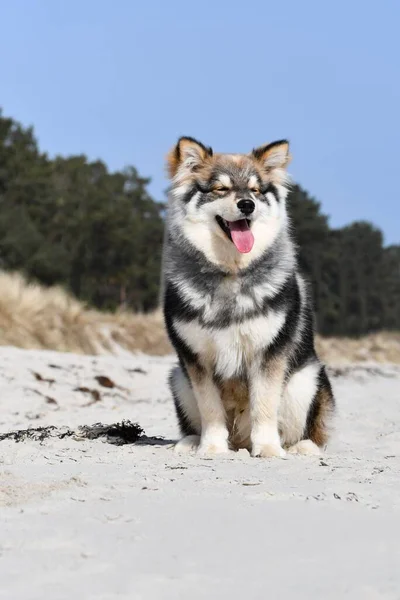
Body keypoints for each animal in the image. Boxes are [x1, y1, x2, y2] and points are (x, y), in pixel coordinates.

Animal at [162, 135, 334, 454]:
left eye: (255, 190)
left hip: (307, 380)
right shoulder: (196, 360)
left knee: (306, 432)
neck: (231, 271)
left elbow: (264, 406)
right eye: (221, 189)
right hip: (178, 379)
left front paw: (267, 448)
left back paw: (300, 448)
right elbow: (210, 409)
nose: (247, 205)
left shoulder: (267, 355)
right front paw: (212, 447)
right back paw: (191, 442)